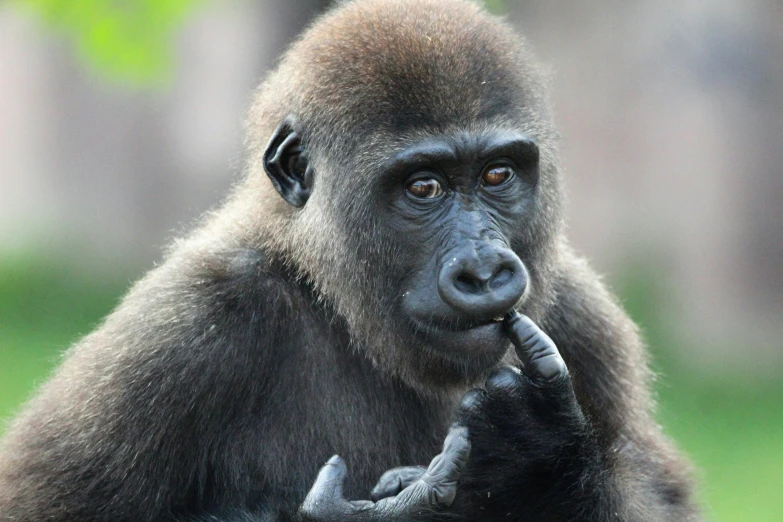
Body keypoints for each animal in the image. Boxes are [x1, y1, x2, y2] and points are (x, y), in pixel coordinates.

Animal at [0, 1, 700, 520]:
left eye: (498, 174)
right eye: (423, 187)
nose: (484, 272)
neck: (327, 290)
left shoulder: (587, 318)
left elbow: (665, 497)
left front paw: (543, 465)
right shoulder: (187, 323)